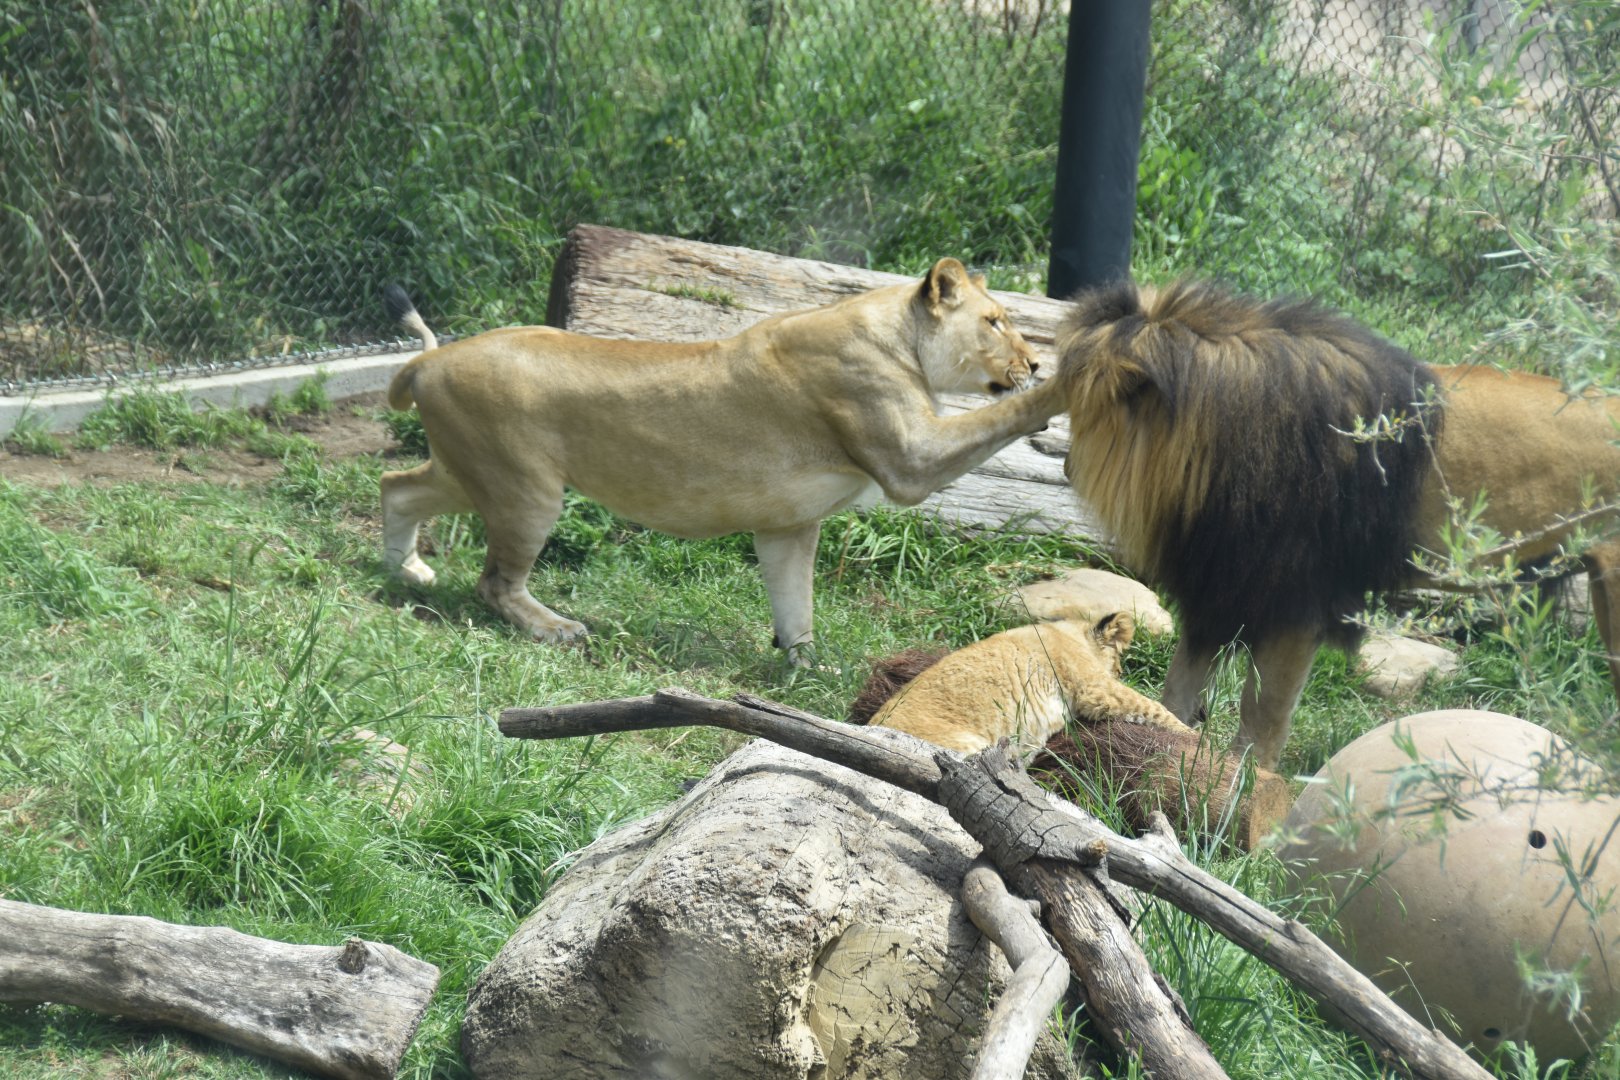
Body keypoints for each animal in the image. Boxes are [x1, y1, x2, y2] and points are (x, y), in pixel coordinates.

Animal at [379, 260, 1065, 660]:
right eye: (995, 321)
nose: (1034, 361)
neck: (898, 335)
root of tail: (431, 359)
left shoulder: (788, 524)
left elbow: (795, 602)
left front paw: (805, 673)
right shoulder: (911, 461)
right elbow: (994, 419)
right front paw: (1065, 384)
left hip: (469, 471)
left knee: (395, 484)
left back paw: (405, 571)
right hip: (525, 489)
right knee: (495, 581)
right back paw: (556, 629)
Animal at [855, 614, 1191, 755]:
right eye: (1119, 664)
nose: (1120, 672)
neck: (1068, 632)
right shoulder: (1095, 688)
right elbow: (1154, 708)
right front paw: (1196, 739)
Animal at [1056, 278, 1620, 769]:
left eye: (1084, 416)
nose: (1065, 468)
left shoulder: (1295, 603)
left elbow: (1262, 714)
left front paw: (1243, 788)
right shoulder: (1219, 590)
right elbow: (1177, 690)